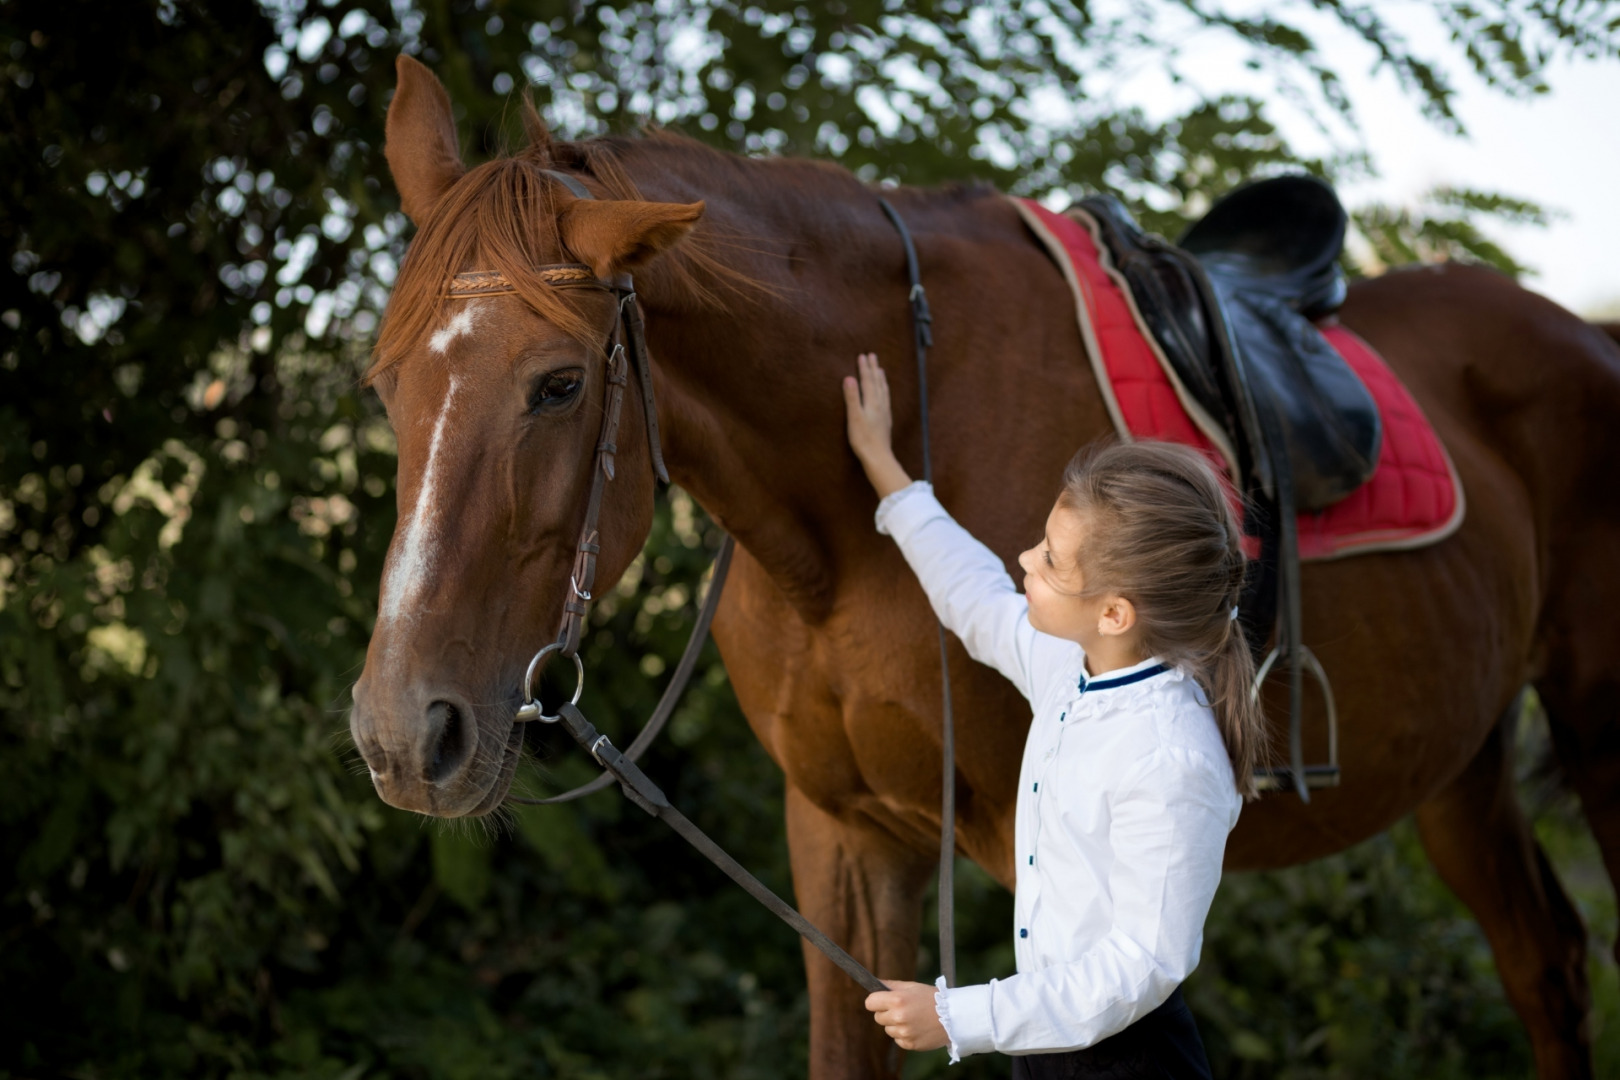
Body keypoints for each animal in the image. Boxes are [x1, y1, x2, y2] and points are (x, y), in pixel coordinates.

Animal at [348, 57, 1613, 1080]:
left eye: (560, 383)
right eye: (383, 381)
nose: (404, 734)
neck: (841, 540)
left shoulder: (1026, 859)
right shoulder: (841, 836)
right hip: (1461, 762)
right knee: (1546, 965)